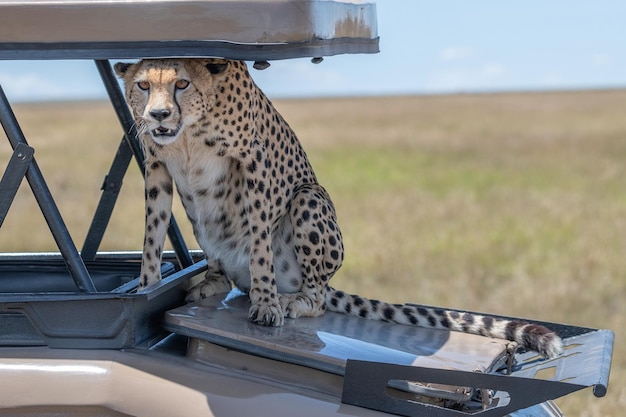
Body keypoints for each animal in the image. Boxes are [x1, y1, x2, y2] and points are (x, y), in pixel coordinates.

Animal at [116, 58, 560, 358]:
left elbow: (259, 242)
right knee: (222, 269)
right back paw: (212, 280)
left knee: (315, 297)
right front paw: (145, 291)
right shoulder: (157, 167)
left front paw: (266, 303)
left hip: (308, 199)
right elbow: (152, 236)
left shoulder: (255, 163)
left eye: (182, 83)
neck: (188, 130)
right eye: (142, 85)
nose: (158, 114)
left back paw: (291, 300)